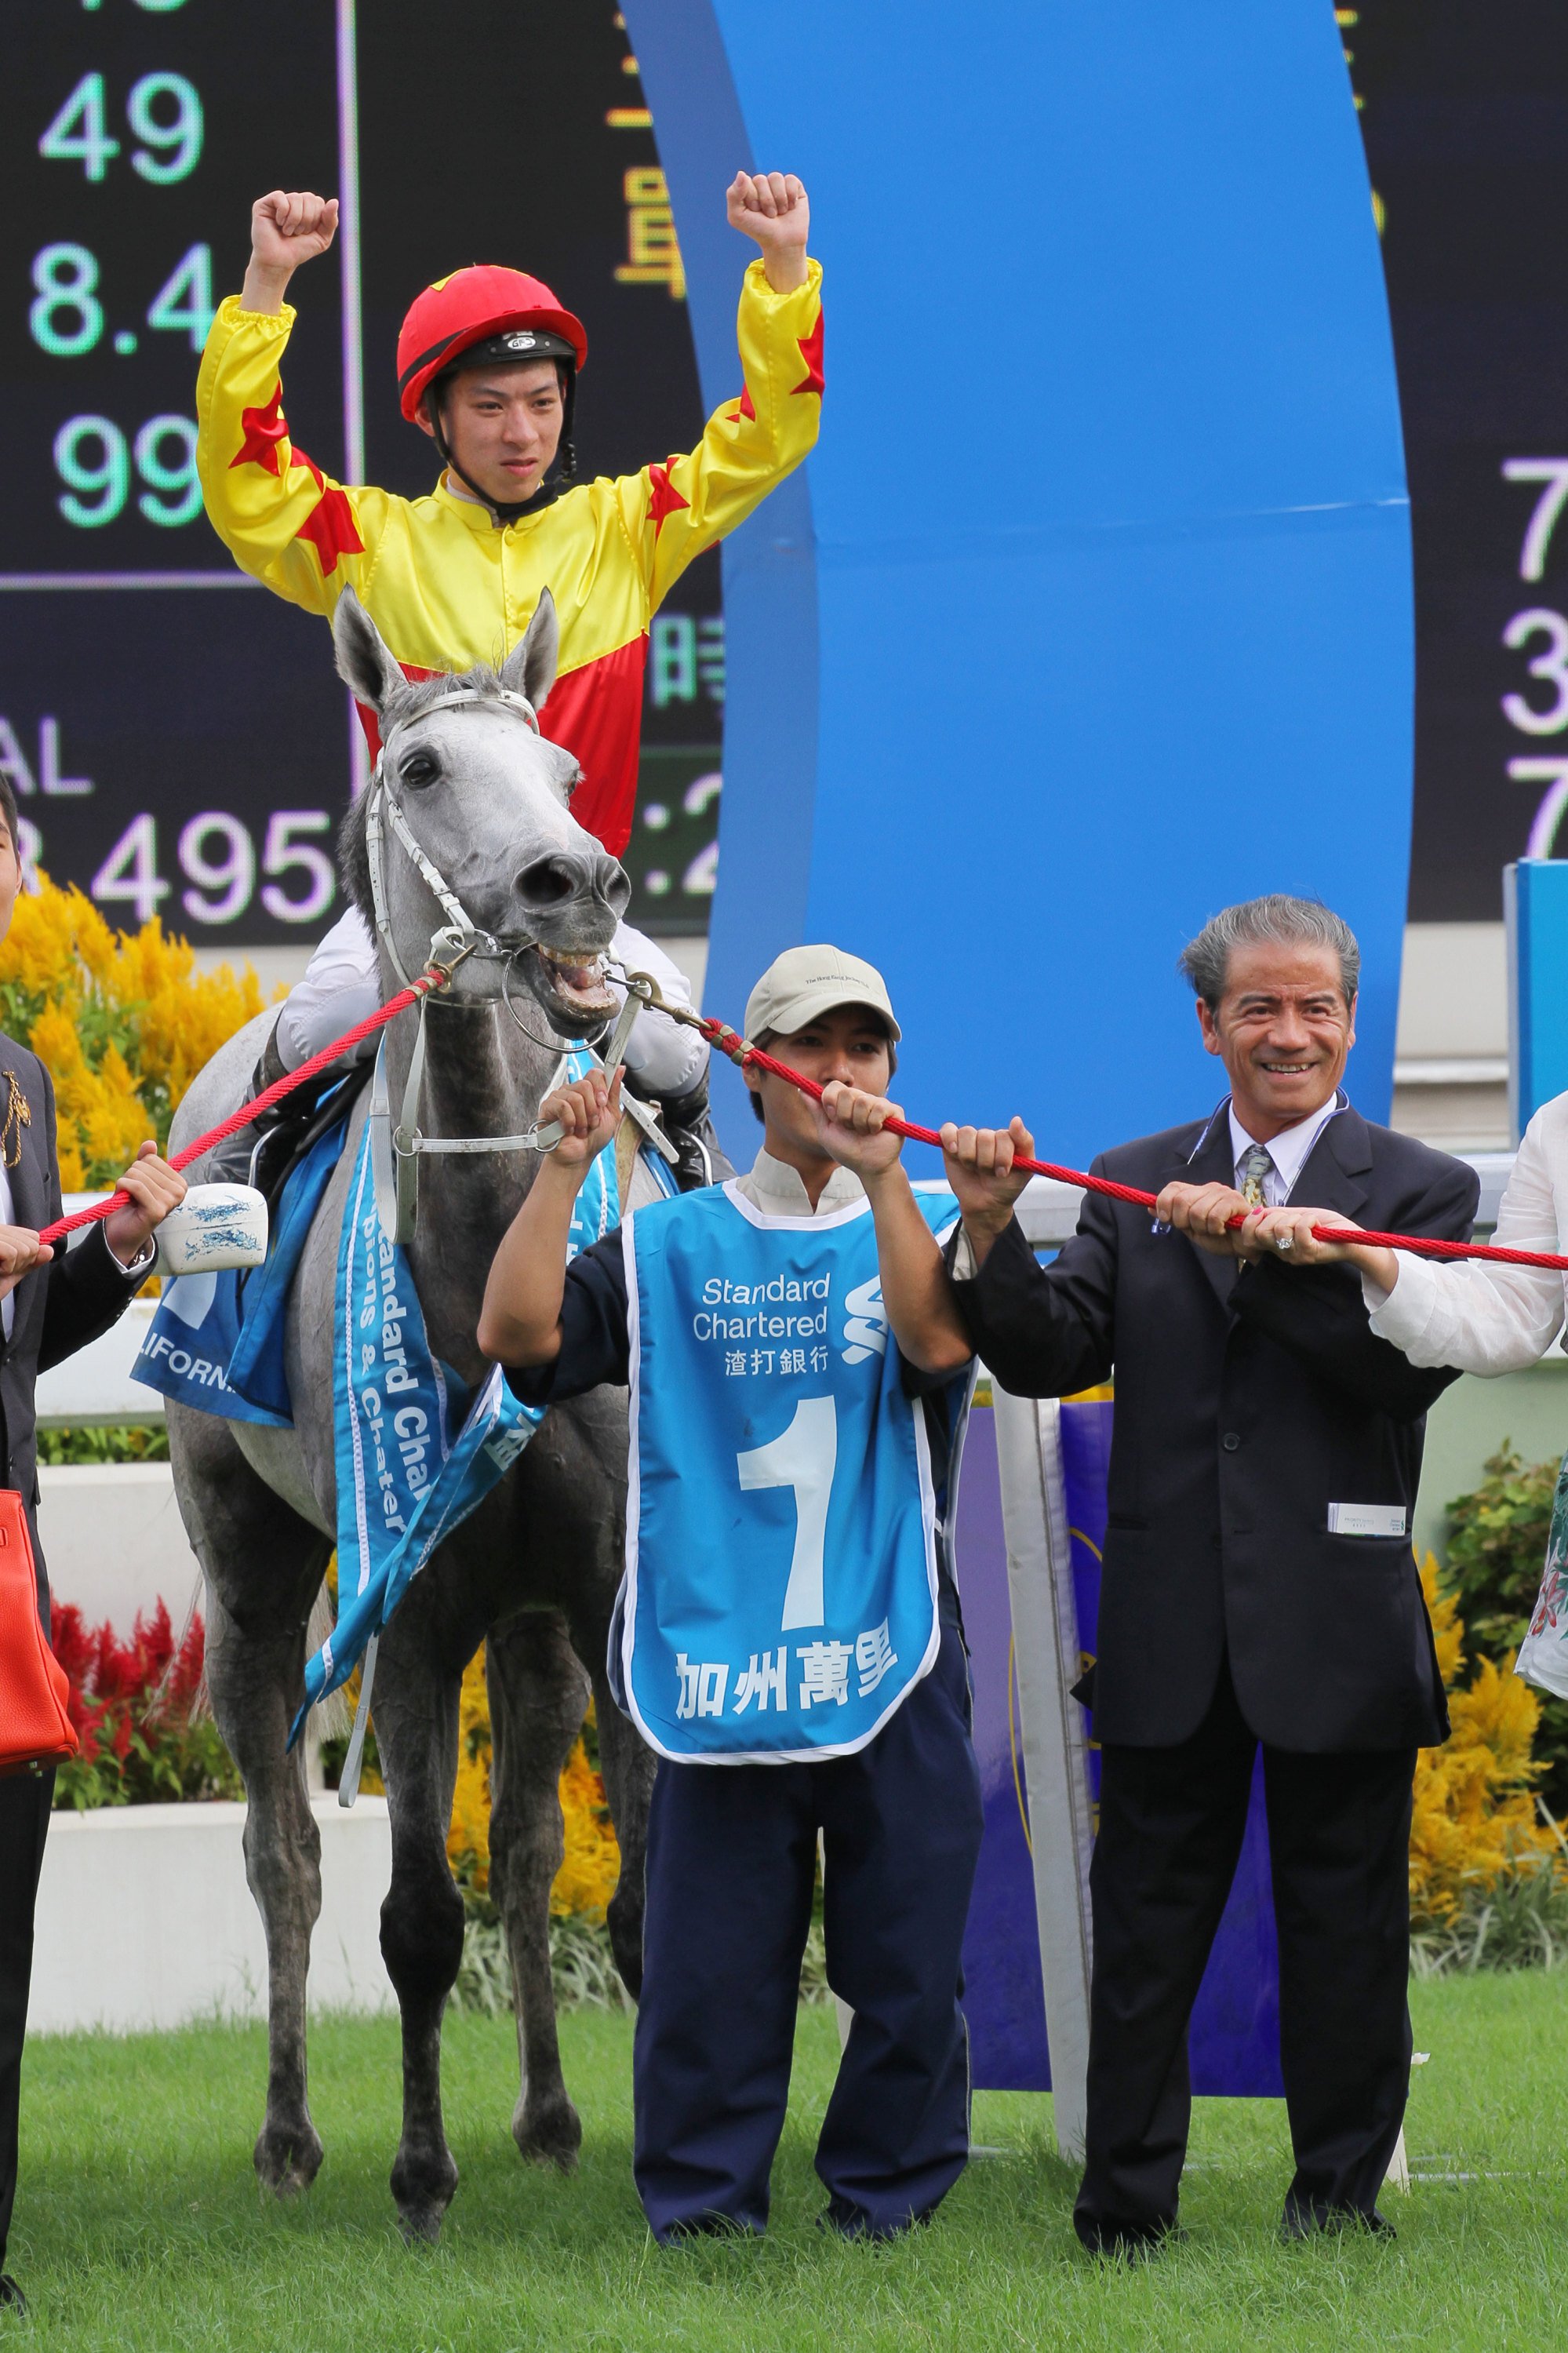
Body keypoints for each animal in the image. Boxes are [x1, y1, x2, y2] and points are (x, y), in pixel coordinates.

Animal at [169, 588, 658, 2240]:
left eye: (566, 772)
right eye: (425, 764)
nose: (574, 884)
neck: (497, 1259)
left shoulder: (605, 1587)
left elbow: (632, 1895)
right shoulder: (415, 1611)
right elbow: (415, 1917)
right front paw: (421, 2168)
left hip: (535, 1623)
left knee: (524, 1845)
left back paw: (557, 2114)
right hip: (254, 1577)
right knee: (284, 1855)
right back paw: (287, 2133)